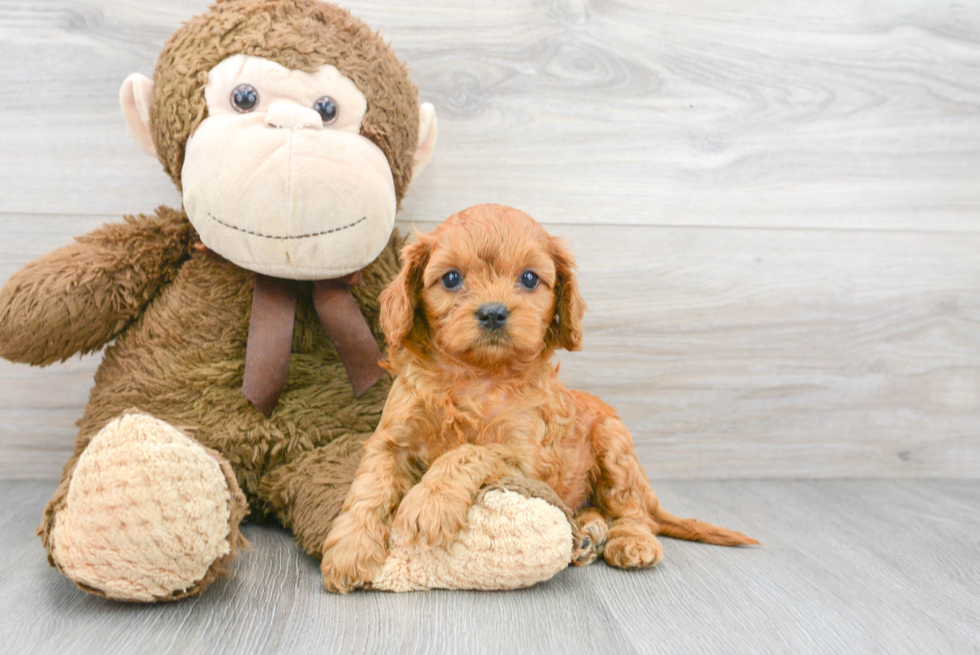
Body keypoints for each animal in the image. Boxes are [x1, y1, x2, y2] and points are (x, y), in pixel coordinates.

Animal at [322, 204, 756, 596]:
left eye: (530, 278)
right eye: (451, 278)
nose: (493, 313)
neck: (475, 374)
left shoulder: (528, 456)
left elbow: (468, 452)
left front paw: (428, 503)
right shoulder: (391, 440)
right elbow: (369, 490)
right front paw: (349, 550)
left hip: (614, 445)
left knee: (631, 510)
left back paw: (630, 541)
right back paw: (586, 535)